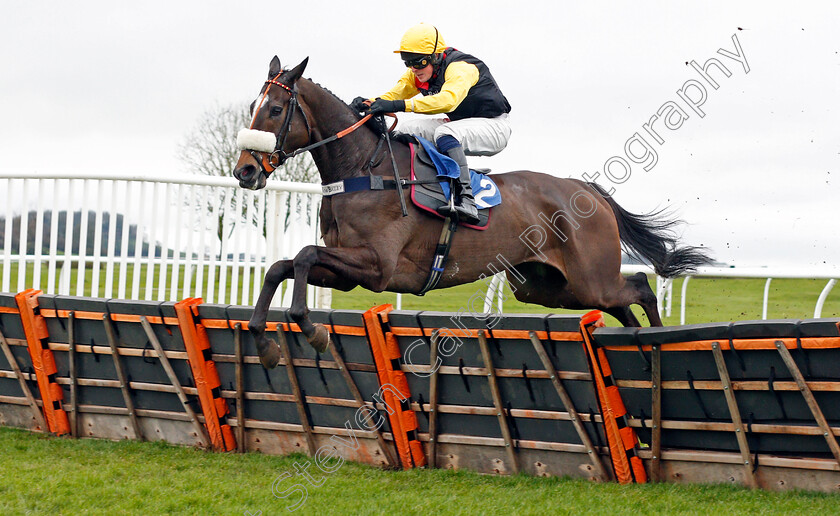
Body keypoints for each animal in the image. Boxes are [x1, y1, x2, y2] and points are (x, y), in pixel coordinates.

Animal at [233, 57, 712, 370]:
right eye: (252, 107)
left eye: (275, 109)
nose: (245, 170)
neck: (364, 169)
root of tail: (584, 189)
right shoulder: (349, 273)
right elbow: (282, 265)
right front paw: (264, 342)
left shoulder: (376, 266)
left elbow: (303, 256)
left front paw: (310, 329)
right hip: (550, 288)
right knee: (622, 304)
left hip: (588, 277)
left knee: (640, 287)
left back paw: (656, 343)